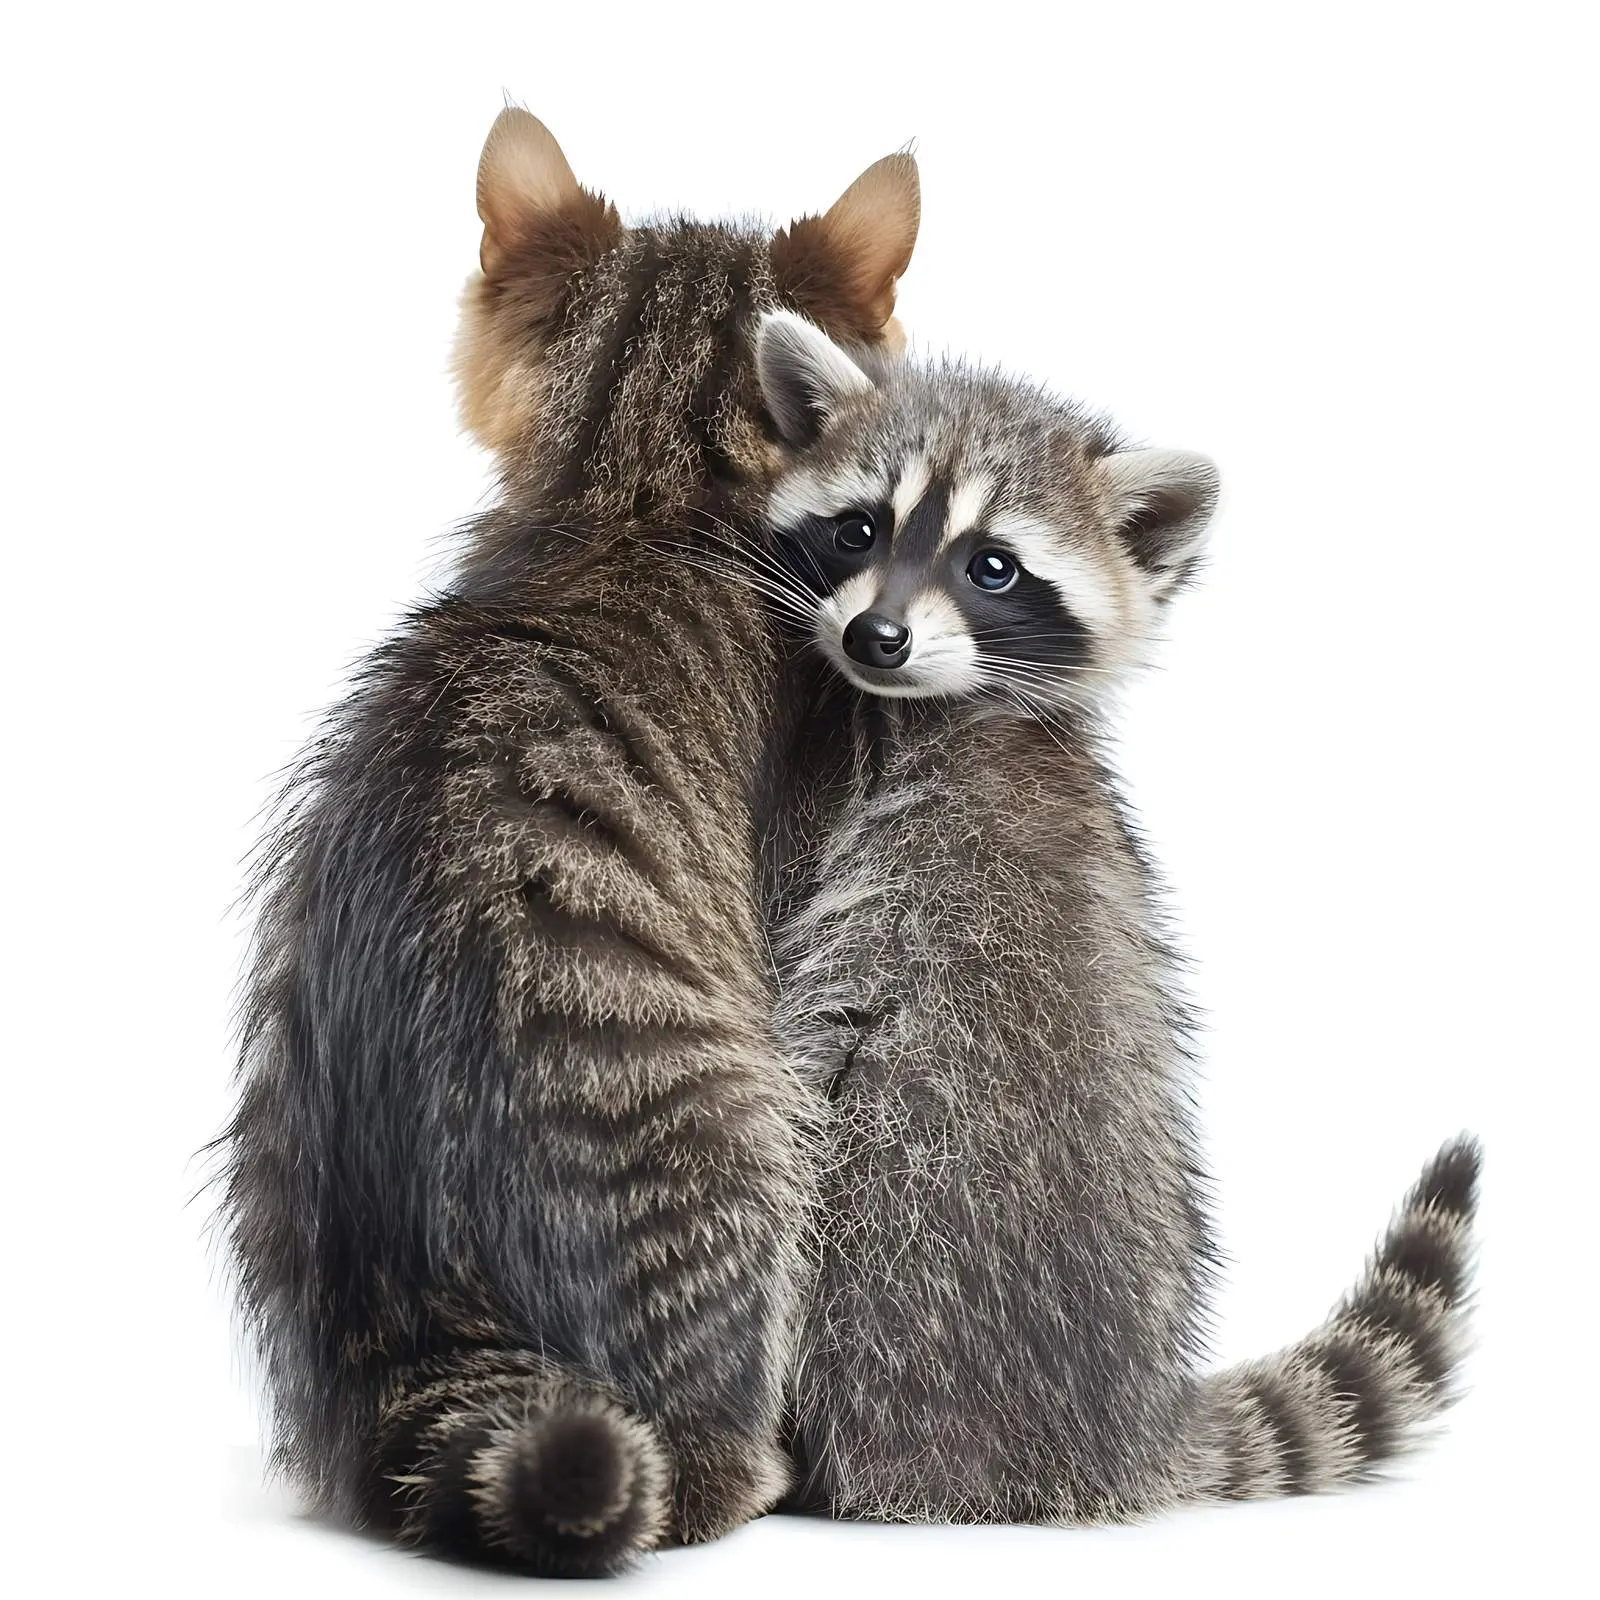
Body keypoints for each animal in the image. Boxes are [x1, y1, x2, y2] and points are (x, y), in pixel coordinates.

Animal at [752, 309, 1481, 1521]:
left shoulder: (875, 822)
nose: (875, 639)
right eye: (859, 529)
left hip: (911, 1254)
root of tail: (1127, 1431)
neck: (952, 703)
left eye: (992, 566)